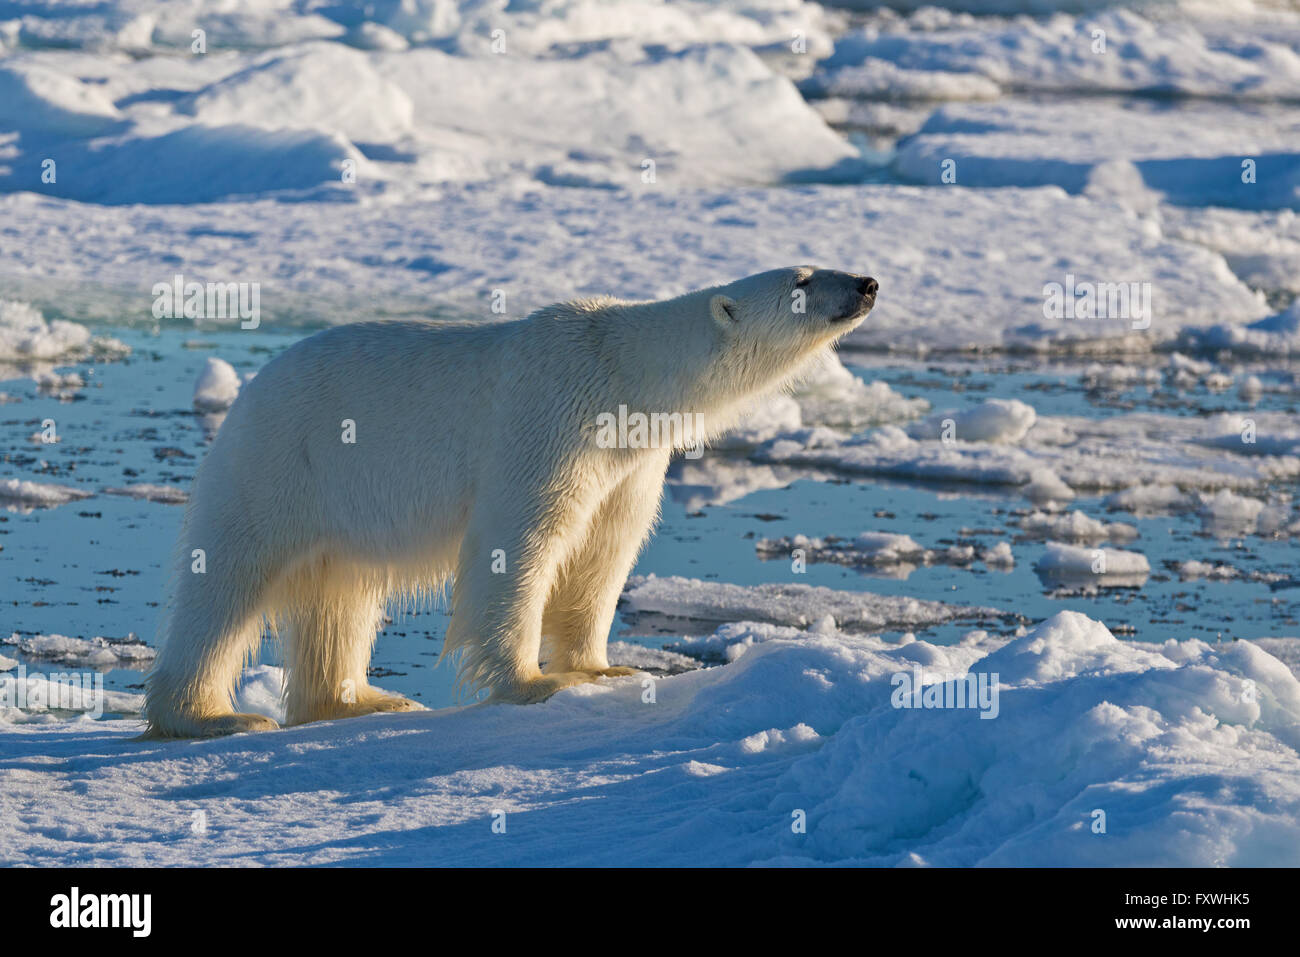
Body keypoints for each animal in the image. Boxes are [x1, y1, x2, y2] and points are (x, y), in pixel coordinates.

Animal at [143, 266, 878, 737]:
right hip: (280, 462)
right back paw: (213, 716)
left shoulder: (629, 462)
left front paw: (605, 666)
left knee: (340, 595)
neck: (622, 369)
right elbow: (522, 541)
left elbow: (604, 551)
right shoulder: (550, 420)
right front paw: (535, 683)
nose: (867, 284)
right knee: (227, 585)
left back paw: (363, 701)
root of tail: (247, 392)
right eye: (801, 280)